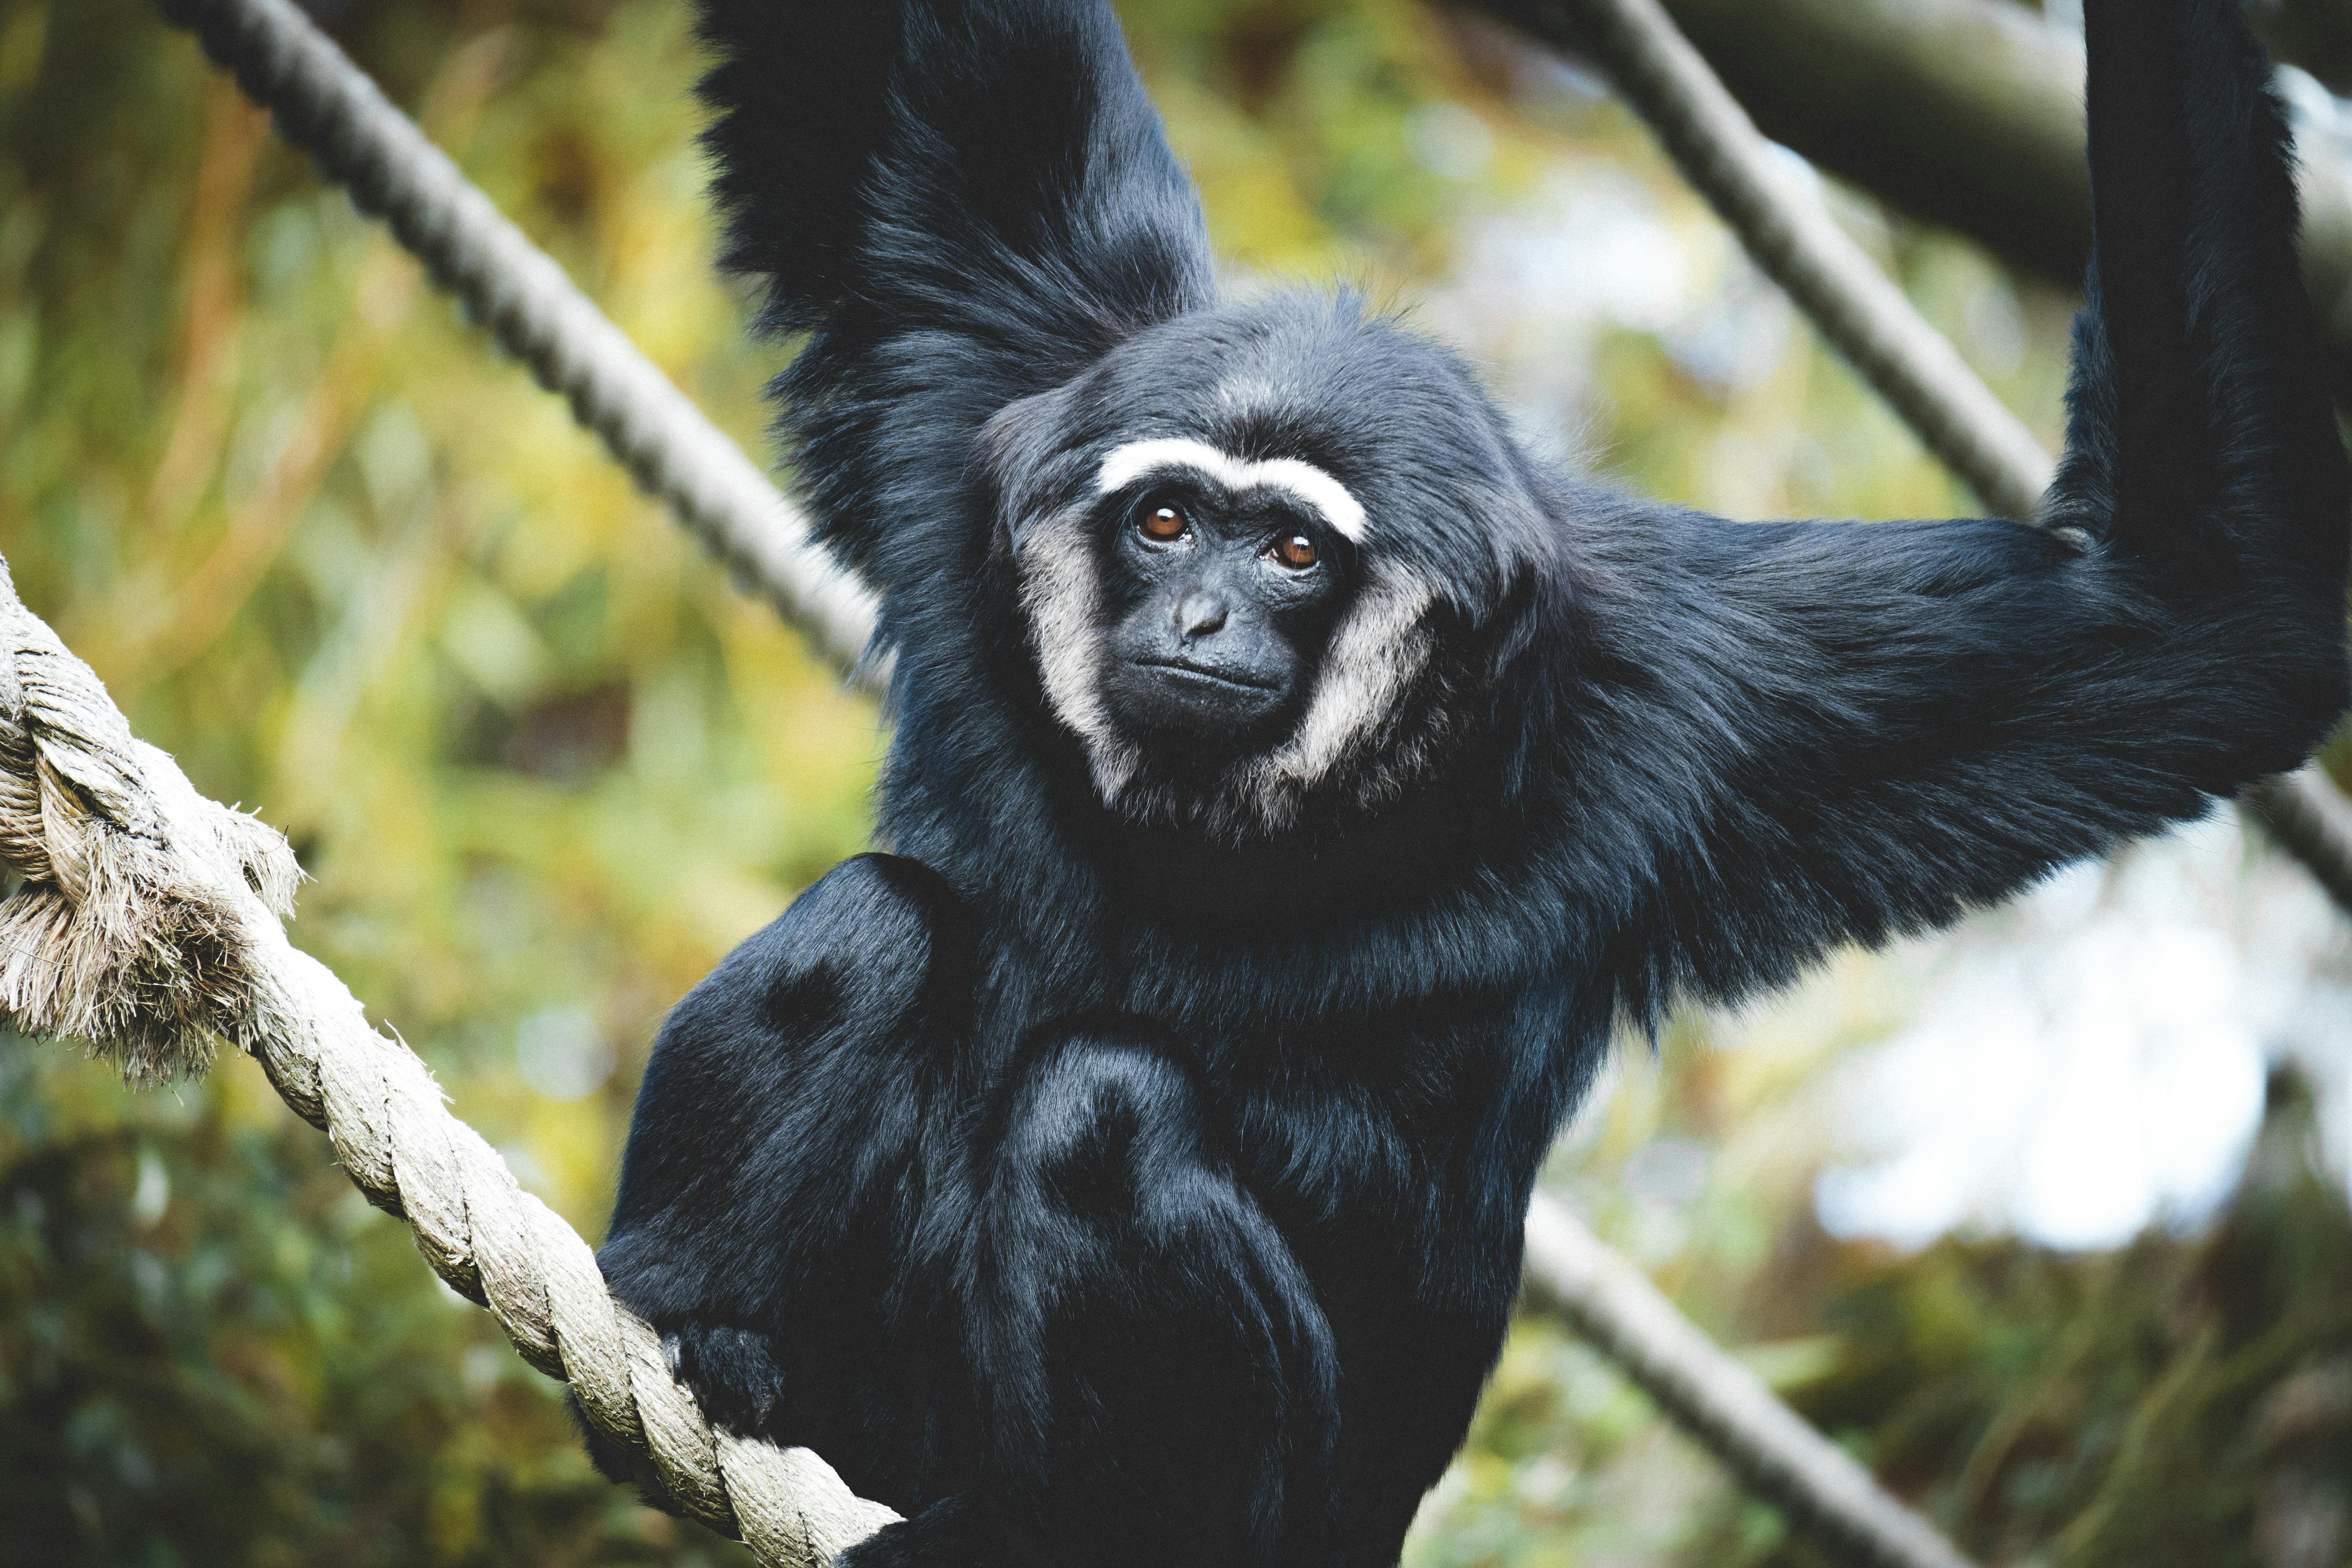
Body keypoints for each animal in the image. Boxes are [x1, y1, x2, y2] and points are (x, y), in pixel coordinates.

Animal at [589, 1, 2352, 1563]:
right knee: (875, 926)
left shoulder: (1699, 695)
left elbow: (2204, 613)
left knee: (1099, 1105)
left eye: (1292, 552)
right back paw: (710, 1339)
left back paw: (1046, 1535)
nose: (1198, 616)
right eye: (1164, 521)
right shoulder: (996, 365)